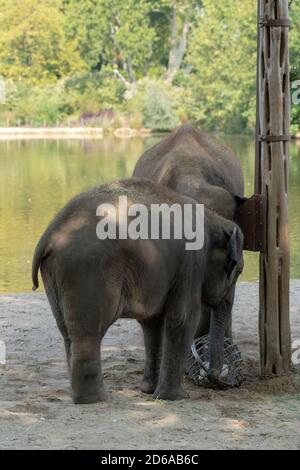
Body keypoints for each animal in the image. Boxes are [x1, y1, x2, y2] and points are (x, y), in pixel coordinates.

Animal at [32, 178, 244, 402]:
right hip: (86, 271)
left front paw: (149, 391)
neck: (214, 219)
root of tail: (49, 235)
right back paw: (95, 399)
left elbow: (152, 322)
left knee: (67, 331)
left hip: (55, 277)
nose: (219, 381)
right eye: (238, 271)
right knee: (88, 333)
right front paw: (175, 397)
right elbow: (183, 318)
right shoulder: (191, 263)